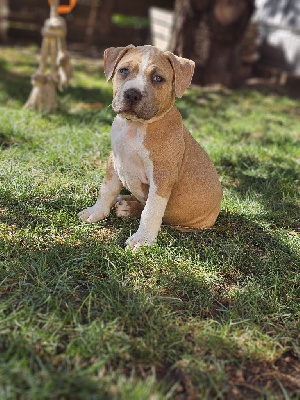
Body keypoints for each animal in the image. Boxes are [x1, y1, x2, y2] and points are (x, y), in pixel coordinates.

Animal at [78, 45, 223, 248]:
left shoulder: (161, 176)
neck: (135, 127)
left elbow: (152, 209)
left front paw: (143, 239)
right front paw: (96, 212)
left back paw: (129, 208)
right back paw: (125, 201)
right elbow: (106, 189)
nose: (132, 94)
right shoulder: (114, 160)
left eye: (158, 78)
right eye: (123, 70)